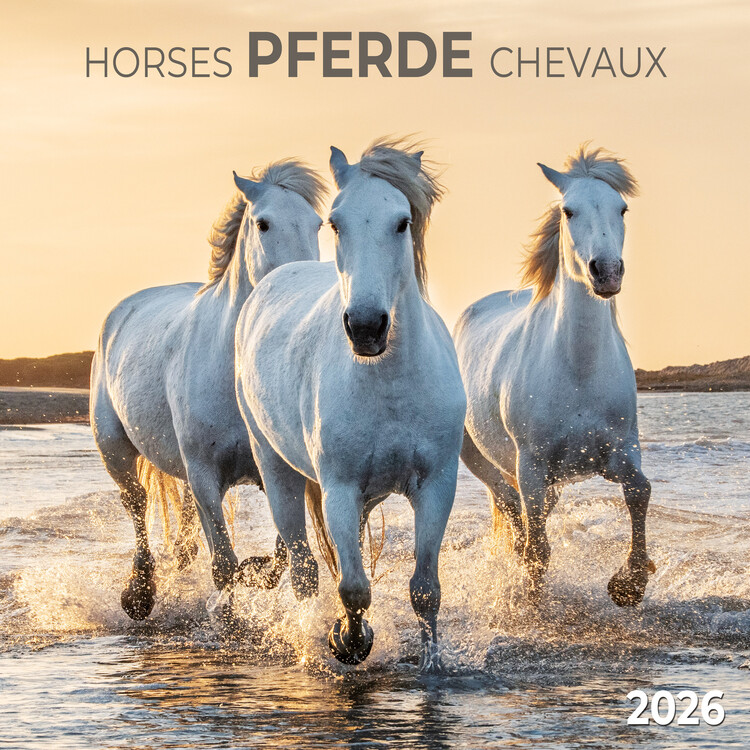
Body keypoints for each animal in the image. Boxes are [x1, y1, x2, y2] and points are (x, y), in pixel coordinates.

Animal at [90, 160, 327, 620]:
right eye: (263, 223)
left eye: (318, 224)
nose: (300, 285)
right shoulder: (204, 474)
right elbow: (223, 564)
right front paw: (229, 617)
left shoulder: (274, 469)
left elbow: (280, 555)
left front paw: (255, 573)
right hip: (115, 450)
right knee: (136, 503)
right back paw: (139, 594)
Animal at [234, 138, 466, 671]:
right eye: (336, 223)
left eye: (402, 222)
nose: (365, 326)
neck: (390, 385)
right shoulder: (338, 488)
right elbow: (354, 587)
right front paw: (348, 640)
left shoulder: (436, 486)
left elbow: (425, 589)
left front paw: (432, 665)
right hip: (276, 468)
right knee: (303, 567)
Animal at [453, 145, 655, 606]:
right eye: (568, 210)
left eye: (622, 208)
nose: (606, 272)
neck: (578, 372)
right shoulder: (531, 465)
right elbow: (537, 548)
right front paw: (532, 601)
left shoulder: (620, 451)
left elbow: (640, 491)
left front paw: (629, 583)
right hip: (481, 457)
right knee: (511, 506)